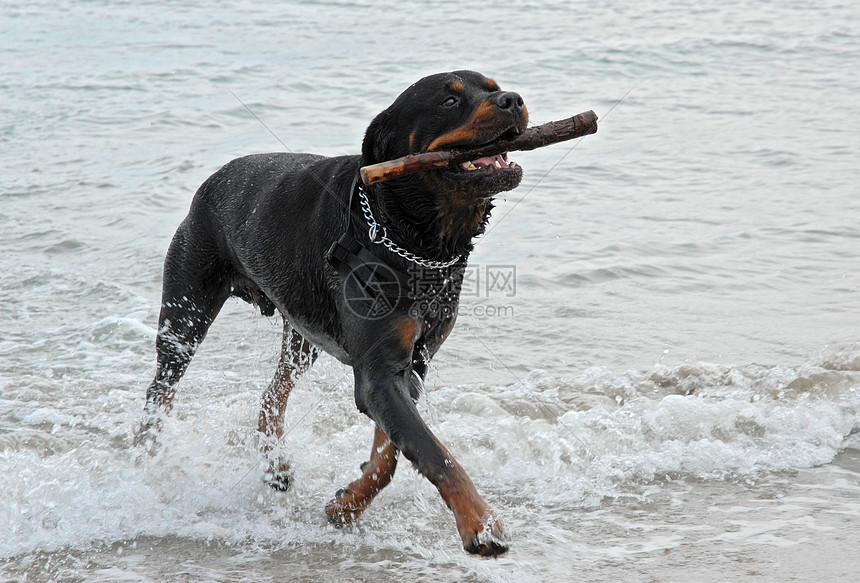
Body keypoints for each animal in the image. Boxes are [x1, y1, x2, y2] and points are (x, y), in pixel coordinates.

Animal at [143, 69, 524, 556]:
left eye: (494, 86)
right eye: (449, 101)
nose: (513, 99)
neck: (411, 235)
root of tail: (212, 180)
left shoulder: (410, 365)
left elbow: (389, 456)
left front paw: (346, 506)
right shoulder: (378, 373)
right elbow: (434, 452)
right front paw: (480, 522)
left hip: (303, 331)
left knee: (272, 394)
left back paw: (276, 467)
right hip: (186, 308)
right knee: (161, 389)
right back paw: (147, 455)